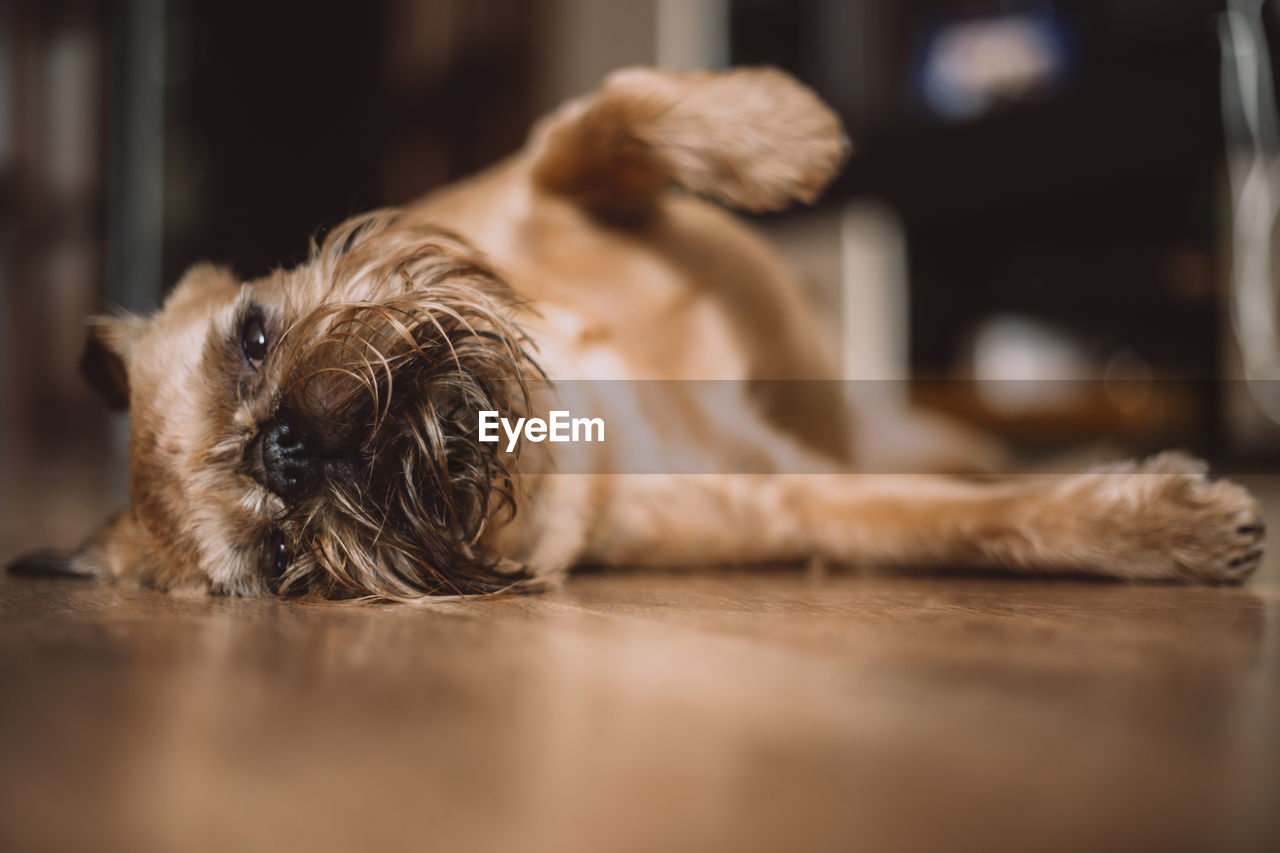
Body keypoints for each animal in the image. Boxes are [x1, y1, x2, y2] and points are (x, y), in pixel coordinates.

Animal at [5, 68, 1264, 596]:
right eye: (281, 565)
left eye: (255, 338)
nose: (285, 450)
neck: (586, 414)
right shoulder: (806, 505)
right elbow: (982, 526)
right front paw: (1161, 529)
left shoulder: (533, 175)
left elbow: (613, 112)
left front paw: (778, 129)